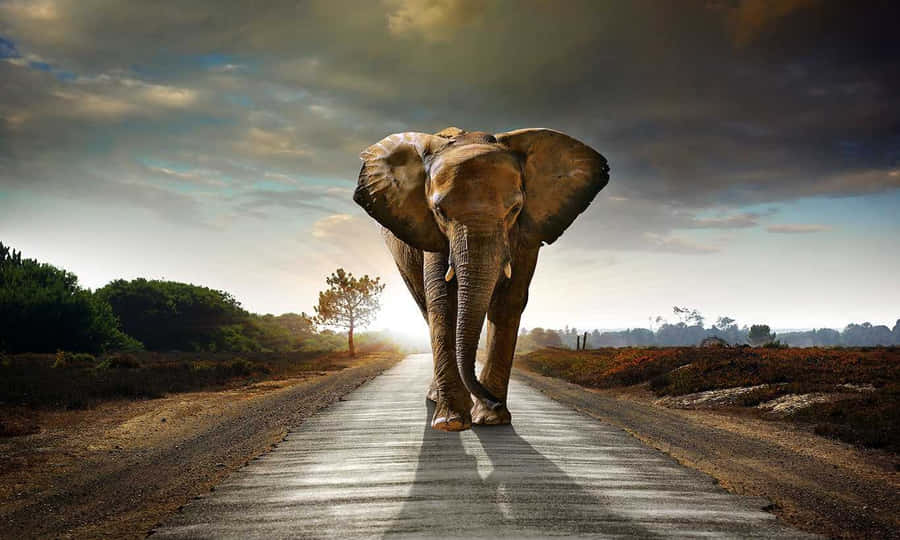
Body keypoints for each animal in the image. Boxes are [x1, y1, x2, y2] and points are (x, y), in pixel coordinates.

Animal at [354, 126, 609, 431]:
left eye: (515, 210)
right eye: (439, 212)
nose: (493, 401)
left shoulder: (527, 232)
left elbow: (509, 301)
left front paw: (491, 419)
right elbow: (443, 301)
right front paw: (451, 422)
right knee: (425, 304)